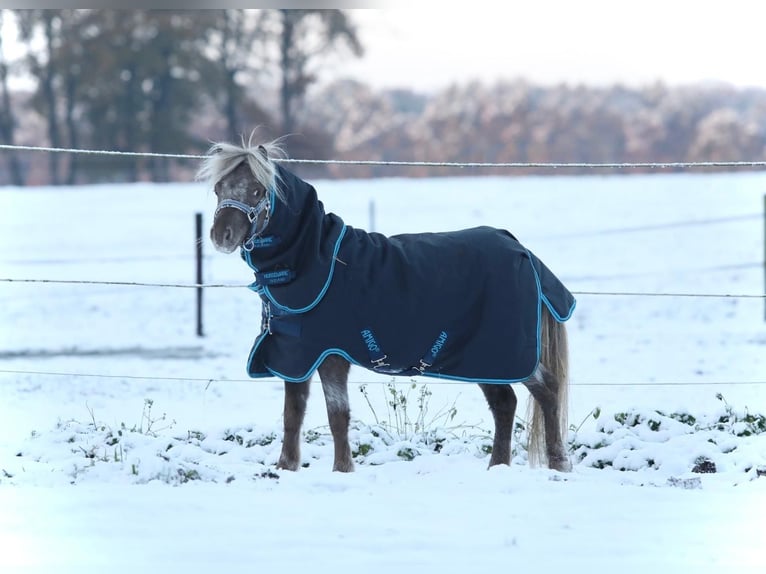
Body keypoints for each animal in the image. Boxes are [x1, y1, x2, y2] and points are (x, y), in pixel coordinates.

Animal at [198, 138, 576, 472]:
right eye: (218, 189)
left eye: (257, 191)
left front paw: (342, 470)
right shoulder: (295, 354)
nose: (221, 236)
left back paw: (558, 464)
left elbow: (337, 416)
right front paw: (286, 468)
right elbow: (293, 414)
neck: (316, 262)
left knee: (547, 391)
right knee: (504, 403)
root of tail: (522, 251)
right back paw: (497, 466)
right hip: (485, 359)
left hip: (507, 353)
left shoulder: (330, 355)